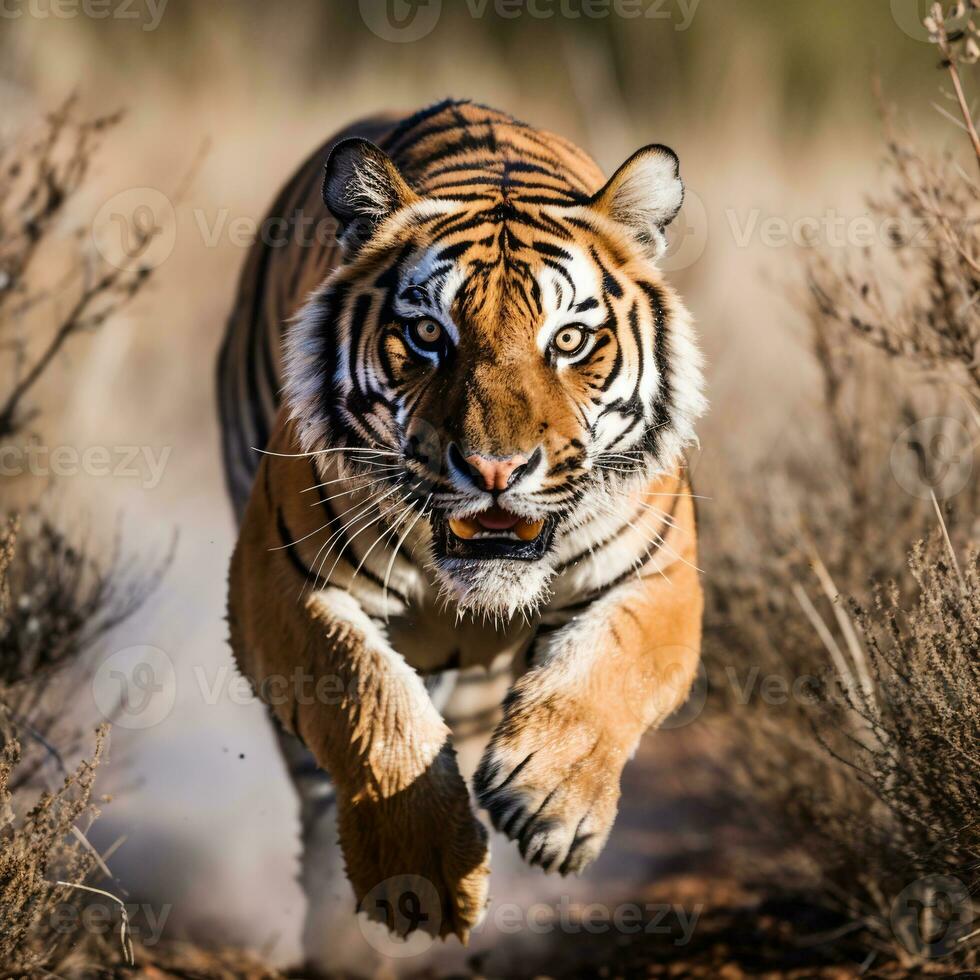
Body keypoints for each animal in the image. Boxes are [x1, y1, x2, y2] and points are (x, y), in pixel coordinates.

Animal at [217, 99, 704, 956]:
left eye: (569, 340)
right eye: (427, 335)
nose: (495, 469)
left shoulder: (663, 574)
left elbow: (614, 666)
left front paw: (550, 797)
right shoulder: (280, 580)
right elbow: (365, 694)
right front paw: (419, 873)